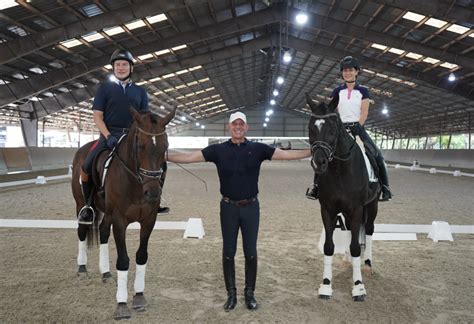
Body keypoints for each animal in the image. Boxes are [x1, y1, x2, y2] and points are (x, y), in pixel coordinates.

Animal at [70, 108, 174, 318]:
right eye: (140, 145)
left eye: (165, 146)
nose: (153, 193)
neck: (136, 182)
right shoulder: (119, 220)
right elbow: (124, 260)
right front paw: (121, 305)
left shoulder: (149, 219)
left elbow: (141, 256)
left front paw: (139, 297)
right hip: (82, 205)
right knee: (82, 231)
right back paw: (82, 269)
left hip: (107, 213)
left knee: (102, 232)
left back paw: (105, 273)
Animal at [306, 93, 380, 302]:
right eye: (311, 128)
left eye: (333, 128)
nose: (319, 162)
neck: (340, 170)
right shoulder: (327, 209)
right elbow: (329, 246)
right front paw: (325, 285)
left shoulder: (357, 209)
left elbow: (356, 247)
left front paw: (358, 287)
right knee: (348, 231)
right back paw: (347, 259)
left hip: (372, 206)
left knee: (369, 230)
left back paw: (368, 265)